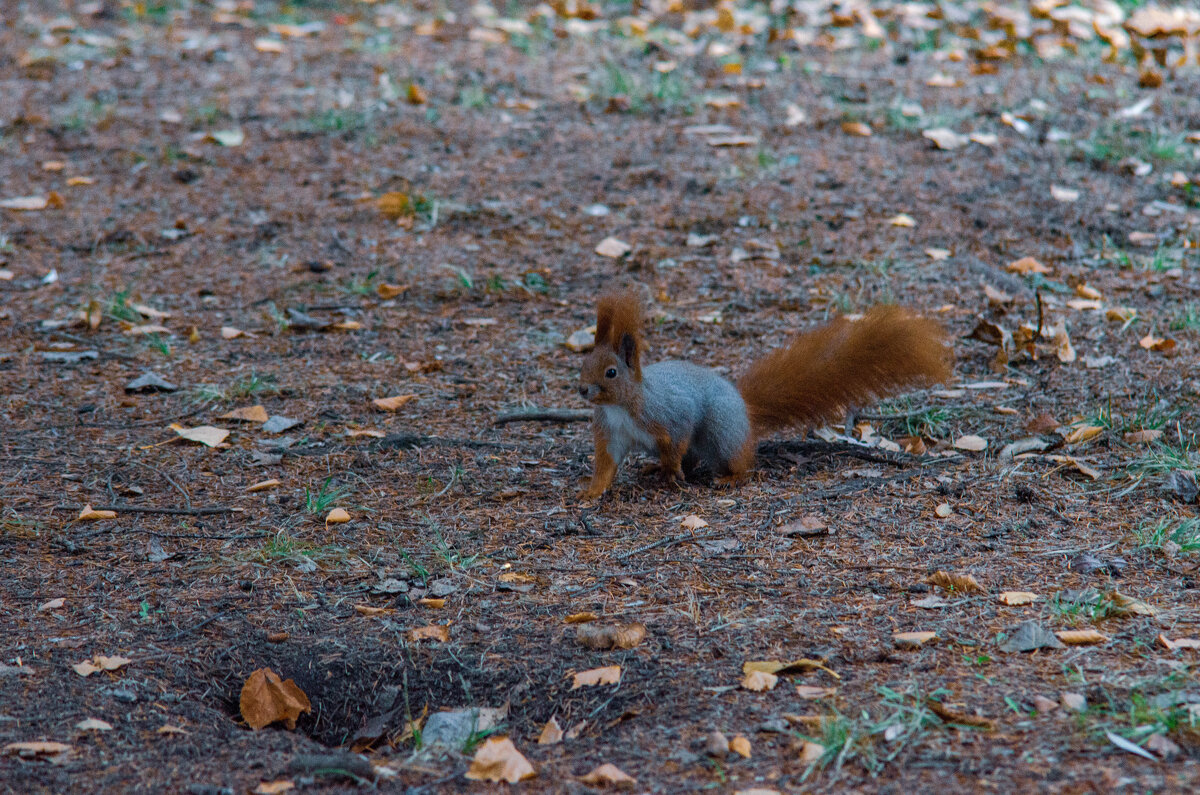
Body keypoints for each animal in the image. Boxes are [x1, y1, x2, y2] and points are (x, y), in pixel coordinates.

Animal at [576, 293, 950, 501]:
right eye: (584, 362)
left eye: (611, 372)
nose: (581, 389)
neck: (620, 406)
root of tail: (744, 407)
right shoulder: (610, 433)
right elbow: (607, 464)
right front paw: (592, 492)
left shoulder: (669, 413)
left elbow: (677, 438)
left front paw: (669, 472)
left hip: (720, 430)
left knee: (740, 462)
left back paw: (727, 477)